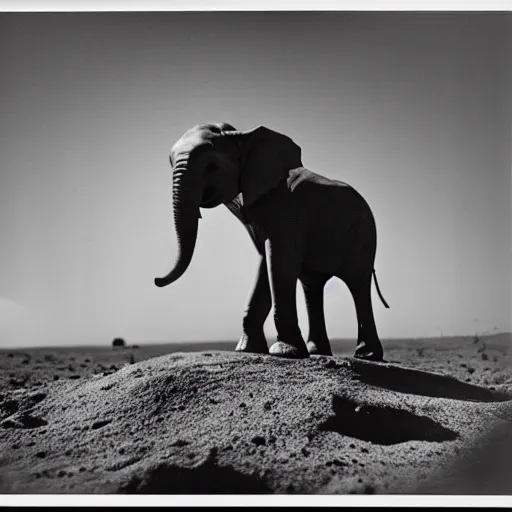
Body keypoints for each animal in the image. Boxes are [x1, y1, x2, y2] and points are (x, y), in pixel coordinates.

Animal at [154, 122, 390, 360]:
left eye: (212, 166)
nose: (156, 280)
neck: (242, 137)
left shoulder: (286, 212)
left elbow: (278, 263)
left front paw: (285, 352)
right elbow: (266, 264)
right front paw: (247, 349)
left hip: (364, 235)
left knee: (358, 284)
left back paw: (367, 355)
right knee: (312, 286)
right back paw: (318, 351)